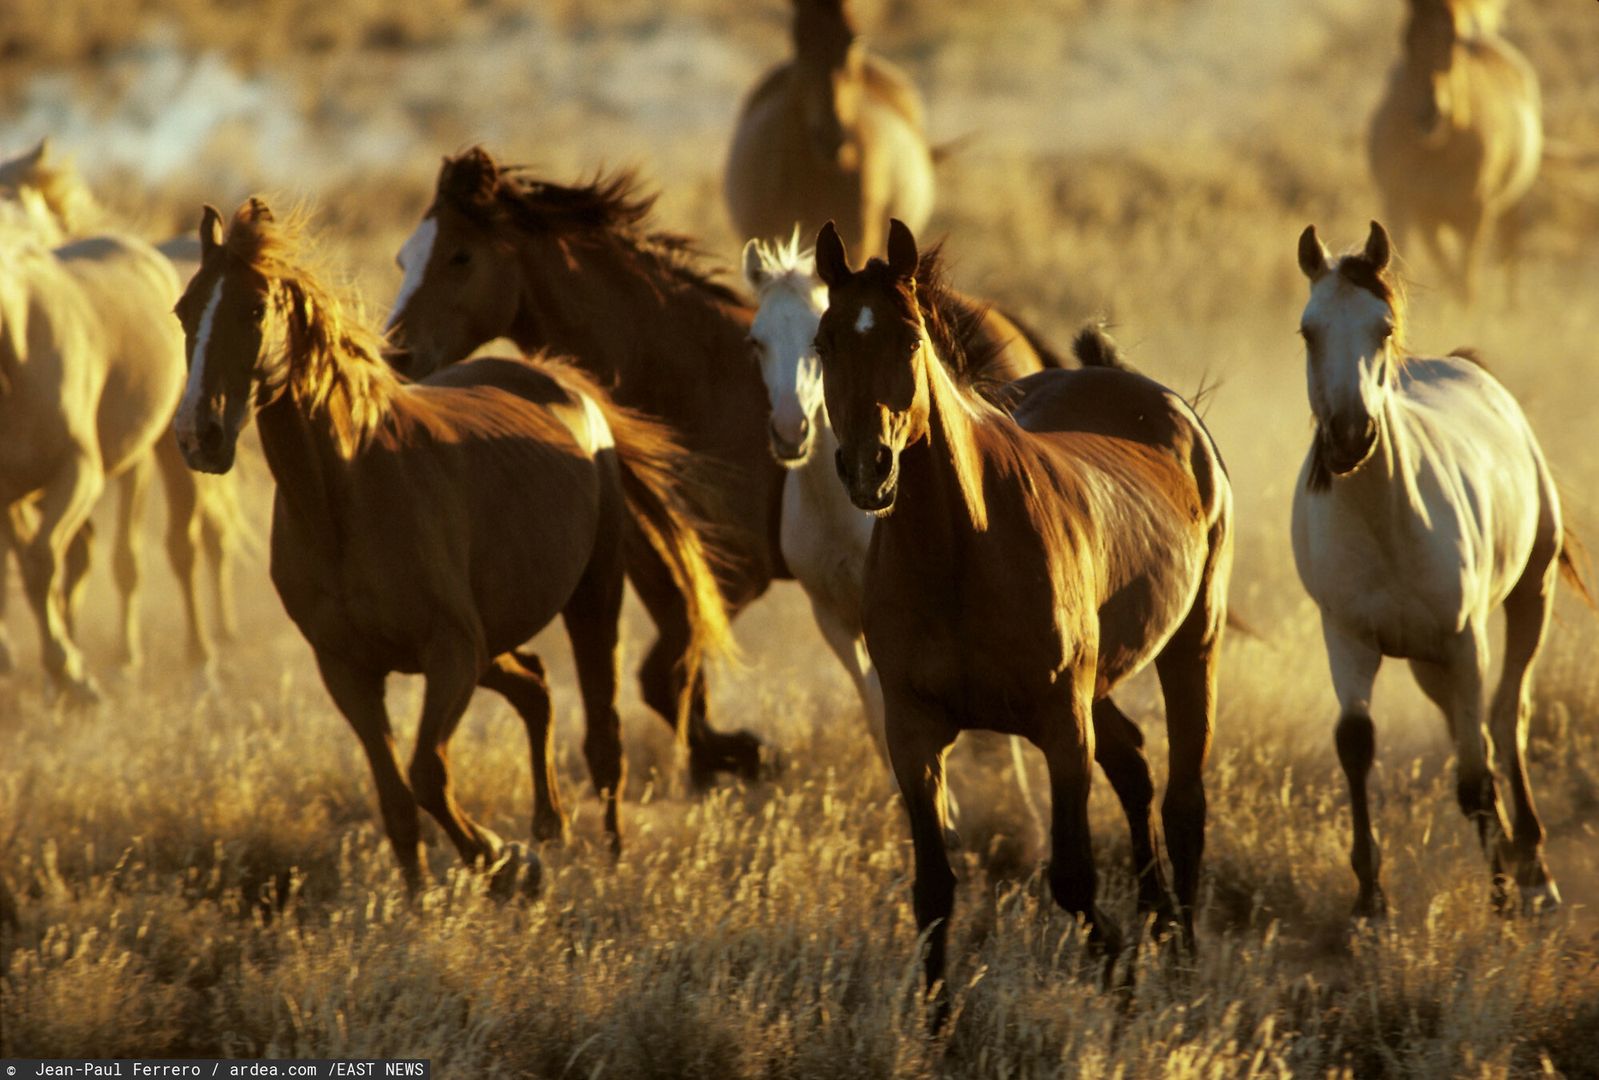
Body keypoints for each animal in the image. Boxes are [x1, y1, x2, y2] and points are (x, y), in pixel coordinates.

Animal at [168, 200, 732, 889]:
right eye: (184, 310)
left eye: (253, 309)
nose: (198, 435)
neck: (345, 498)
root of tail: (563, 384)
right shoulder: (348, 668)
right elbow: (397, 802)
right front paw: (430, 895)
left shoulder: (450, 652)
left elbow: (427, 775)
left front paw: (504, 864)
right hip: (494, 636)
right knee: (535, 686)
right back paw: (549, 827)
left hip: (592, 601)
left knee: (604, 740)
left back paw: (610, 859)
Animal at [386, 145, 786, 787]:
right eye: (405, 257)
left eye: (460, 255)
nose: (394, 350)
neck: (709, 375)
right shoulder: (661, 574)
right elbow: (675, 682)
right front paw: (724, 761)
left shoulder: (736, 570)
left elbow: (666, 676)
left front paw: (746, 754)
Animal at [812, 222, 1234, 1024]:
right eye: (823, 343)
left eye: (910, 339)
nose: (867, 469)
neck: (962, 548)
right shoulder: (913, 733)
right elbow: (932, 889)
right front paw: (937, 1019)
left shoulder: (1060, 725)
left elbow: (1070, 875)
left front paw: (1119, 973)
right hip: (1104, 681)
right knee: (1135, 767)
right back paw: (1161, 920)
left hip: (1192, 643)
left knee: (1183, 802)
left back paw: (1186, 962)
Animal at [1368, 0, 1541, 304]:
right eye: (1406, 38)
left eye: (1455, 40)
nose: (1431, 114)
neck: (1439, 151)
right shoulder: (1410, 207)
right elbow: (1444, 274)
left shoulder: (1476, 212)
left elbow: (1465, 282)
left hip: (1511, 203)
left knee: (1509, 253)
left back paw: (1512, 307)